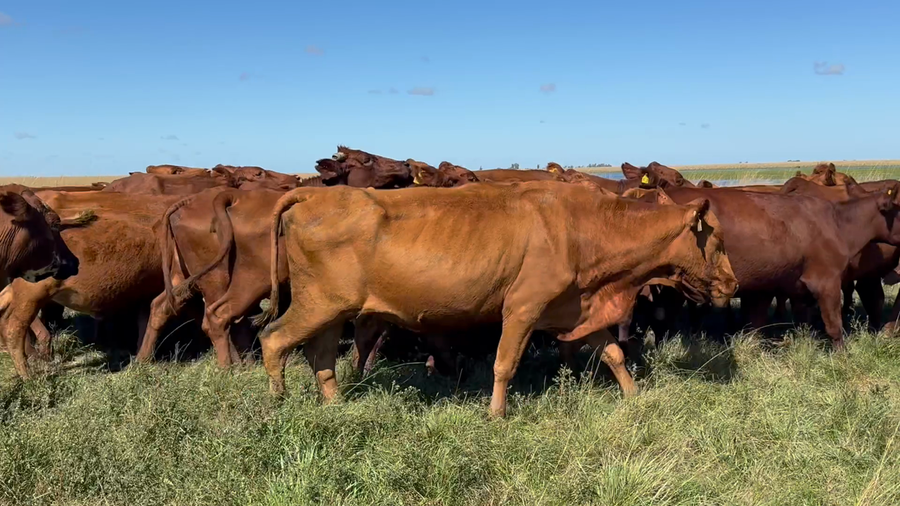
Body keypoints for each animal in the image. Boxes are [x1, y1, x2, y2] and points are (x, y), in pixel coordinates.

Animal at [256, 181, 737, 418]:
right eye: (716, 242)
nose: (733, 284)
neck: (584, 227)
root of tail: (315, 193)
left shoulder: (576, 308)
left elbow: (615, 353)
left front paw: (635, 396)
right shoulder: (523, 307)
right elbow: (504, 364)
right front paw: (496, 414)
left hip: (333, 310)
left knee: (320, 356)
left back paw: (335, 405)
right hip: (318, 304)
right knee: (274, 340)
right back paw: (276, 405)